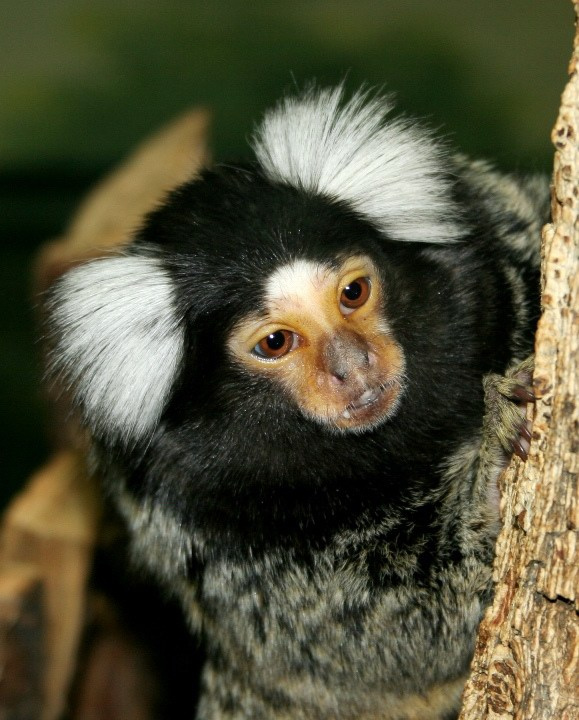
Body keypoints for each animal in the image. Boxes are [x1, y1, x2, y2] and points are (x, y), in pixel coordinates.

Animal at [45, 86, 549, 720]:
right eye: (275, 343)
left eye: (353, 293)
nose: (354, 365)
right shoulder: (221, 546)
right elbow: (392, 637)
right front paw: (494, 464)